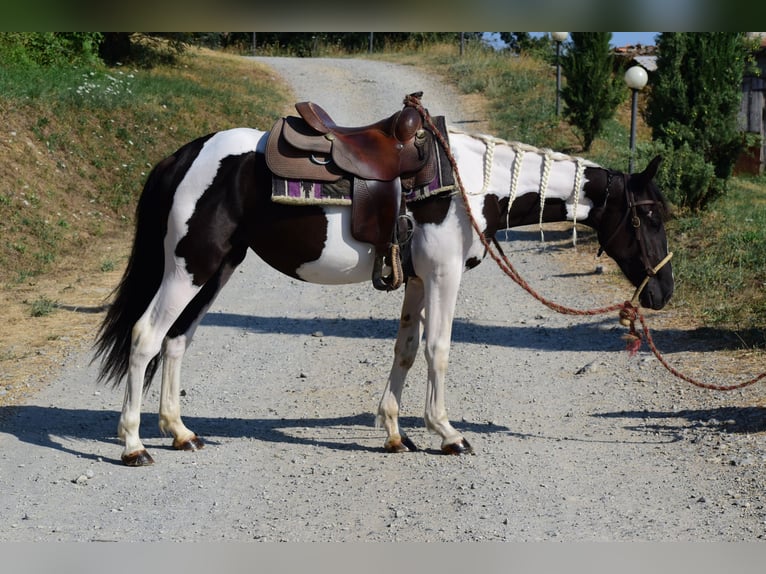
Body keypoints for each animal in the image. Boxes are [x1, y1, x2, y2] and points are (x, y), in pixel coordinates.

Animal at [93, 109, 676, 468]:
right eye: (647, 216)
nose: (663, 293)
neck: (468, 184)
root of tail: (184, 155)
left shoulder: (416, 279)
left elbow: (406, 349)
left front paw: (397, 432)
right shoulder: (443, 275)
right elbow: (439, 349)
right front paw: (448, 433)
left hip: (215, 270)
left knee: (177, 341)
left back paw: (180, 432)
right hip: (189, 268)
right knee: (145, 336)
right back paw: (133, 445)